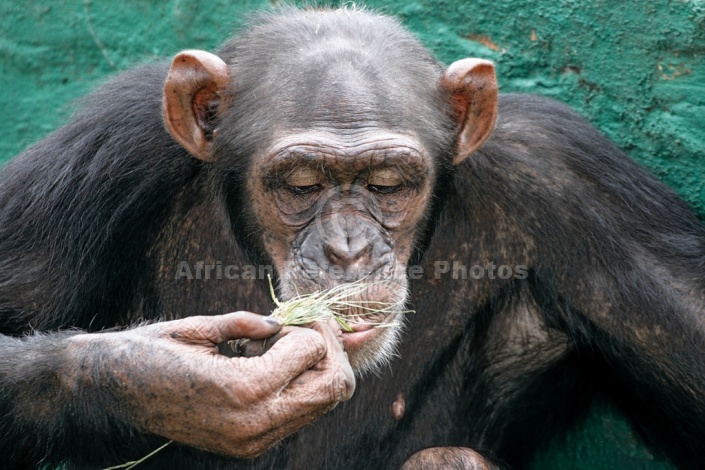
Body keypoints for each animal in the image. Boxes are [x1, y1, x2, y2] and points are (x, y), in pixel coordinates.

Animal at [1, 6, 704, 470]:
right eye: (302, 185)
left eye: (388, 184)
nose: (347, 249)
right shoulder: (103, 156)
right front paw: (160, 380)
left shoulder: (571, 178)